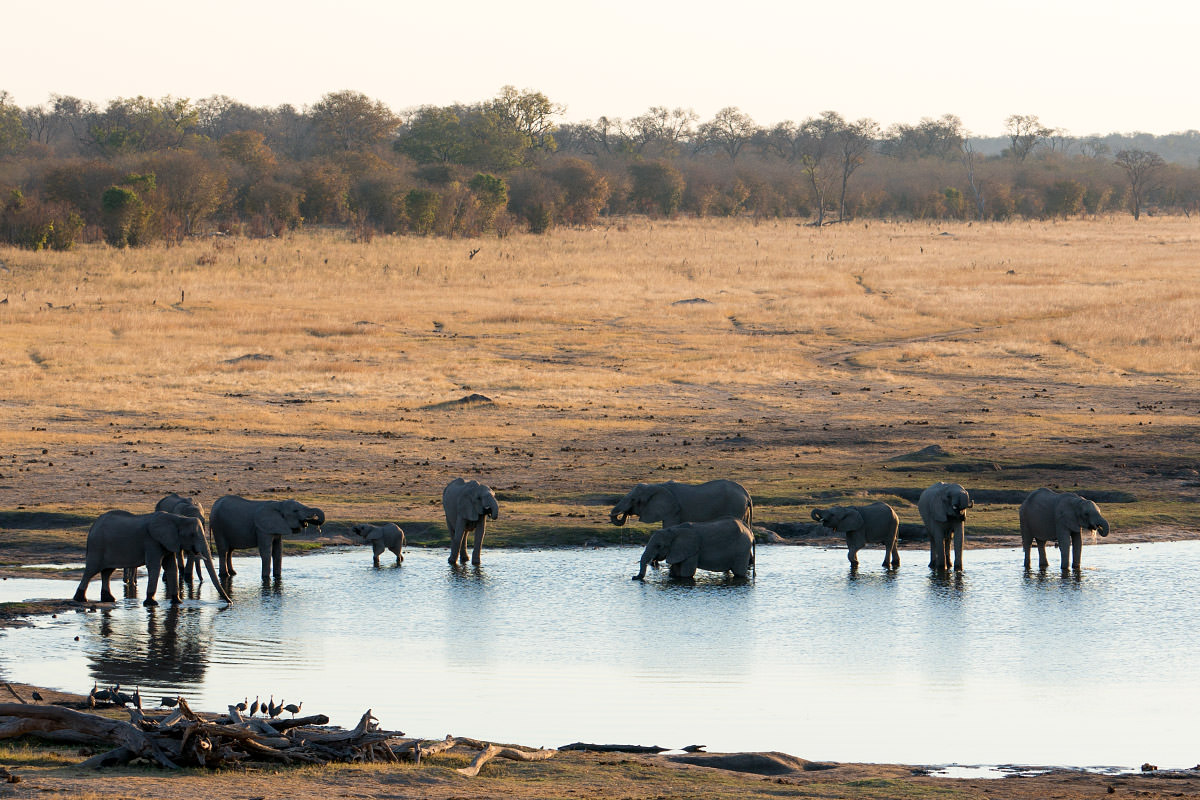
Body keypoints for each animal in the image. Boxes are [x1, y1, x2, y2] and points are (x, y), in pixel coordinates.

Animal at [73, 513, 230, 606]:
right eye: (192, 535)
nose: (230, 603)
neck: (177, 518)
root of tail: (92, 528)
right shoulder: (152, 541)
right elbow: (155, 566)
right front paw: (151, 603)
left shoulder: (168, 542)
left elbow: (171, 567)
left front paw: (177, 602)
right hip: (97, 546)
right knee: (91, 570)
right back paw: (81, 599)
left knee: (107, 571)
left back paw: (109, 599)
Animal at [609, 482, 748, 532]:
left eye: (633, 499)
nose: (626, 513)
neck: (656, 486)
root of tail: (746, 493)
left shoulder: (673, 510)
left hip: (735, 506)